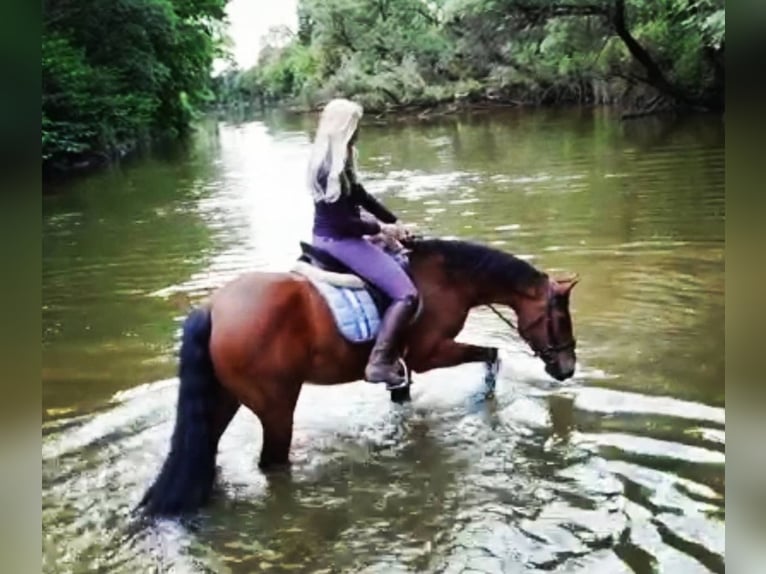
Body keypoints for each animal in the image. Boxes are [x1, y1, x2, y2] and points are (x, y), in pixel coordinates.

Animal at [141, 237, 580, 516]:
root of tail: (213, 307)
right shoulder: (430, 354)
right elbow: (491, 354)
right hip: (276, 407)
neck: (449, 279)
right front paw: (483, 396)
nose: (568, 369)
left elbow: (403, 401)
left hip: (223, 399)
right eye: (559, 318)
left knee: (207, 448)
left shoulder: (405, 367)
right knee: (272, 464)